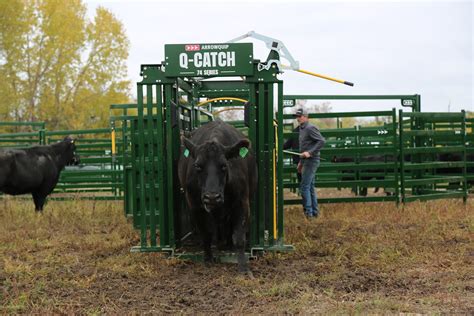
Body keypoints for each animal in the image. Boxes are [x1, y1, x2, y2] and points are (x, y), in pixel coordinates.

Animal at [179, 119, 260, 272]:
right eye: (197, 166)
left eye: (224, 165)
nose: (212, 197)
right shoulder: (195, 206)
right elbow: (206, 234)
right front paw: (208, 259)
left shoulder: (242, 203)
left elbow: (239, 237)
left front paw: (243, 267)